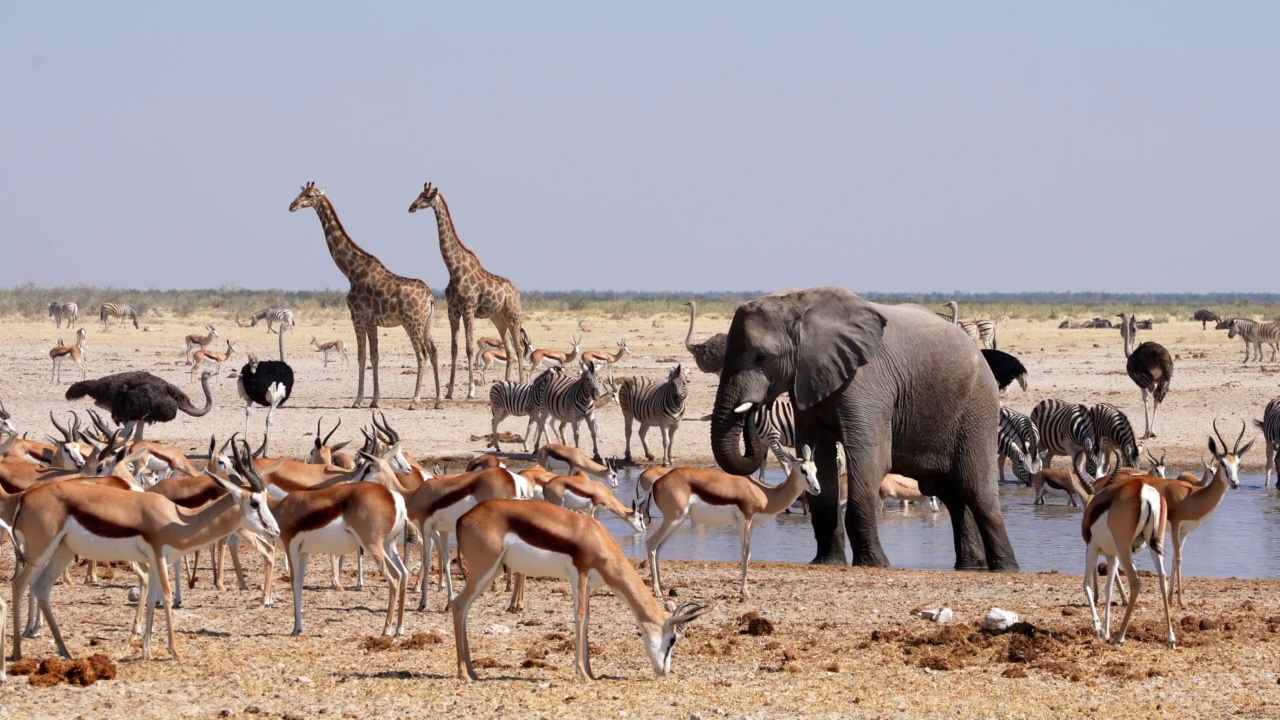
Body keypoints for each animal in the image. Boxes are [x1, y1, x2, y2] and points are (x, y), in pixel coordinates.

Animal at [291, 181, 445, 409]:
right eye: (300, 193)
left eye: (309, 196)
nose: (292, 205)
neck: (350, 270)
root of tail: (430, 298)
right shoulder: (372, 321)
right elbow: (374, 357)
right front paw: (374, 400)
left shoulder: (358, 317)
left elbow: (362, 357)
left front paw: (358, 400)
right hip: (428, 323)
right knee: (433, 352)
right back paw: (438, 400)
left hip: (412, 323)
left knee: (422, 355)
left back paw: (415, 400)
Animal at [412, 181, 527, 397]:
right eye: (419, 194)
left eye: (427, 196)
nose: (411, 207)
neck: (453, 268)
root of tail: (516, 292)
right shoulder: (452, 311)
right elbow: (454, 349)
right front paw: (449, 392)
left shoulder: (468, 309)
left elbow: (469, 349)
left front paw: (471, 391)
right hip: (499, 318)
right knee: (509, 349)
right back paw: (507, 384)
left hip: (513, 314)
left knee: (519, 348)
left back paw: (523, 384)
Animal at [711, 285, 1018, 571]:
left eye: (761, 357)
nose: (753, 409)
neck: (800, 304)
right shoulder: (809, 379)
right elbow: (818, 457)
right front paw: (826, 562)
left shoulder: (867, 381)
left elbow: (870, 457)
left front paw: (875, 564)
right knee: (952, 495)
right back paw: (971, 566)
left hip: (977, 409)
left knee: (976, 490)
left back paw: (1006, 568)